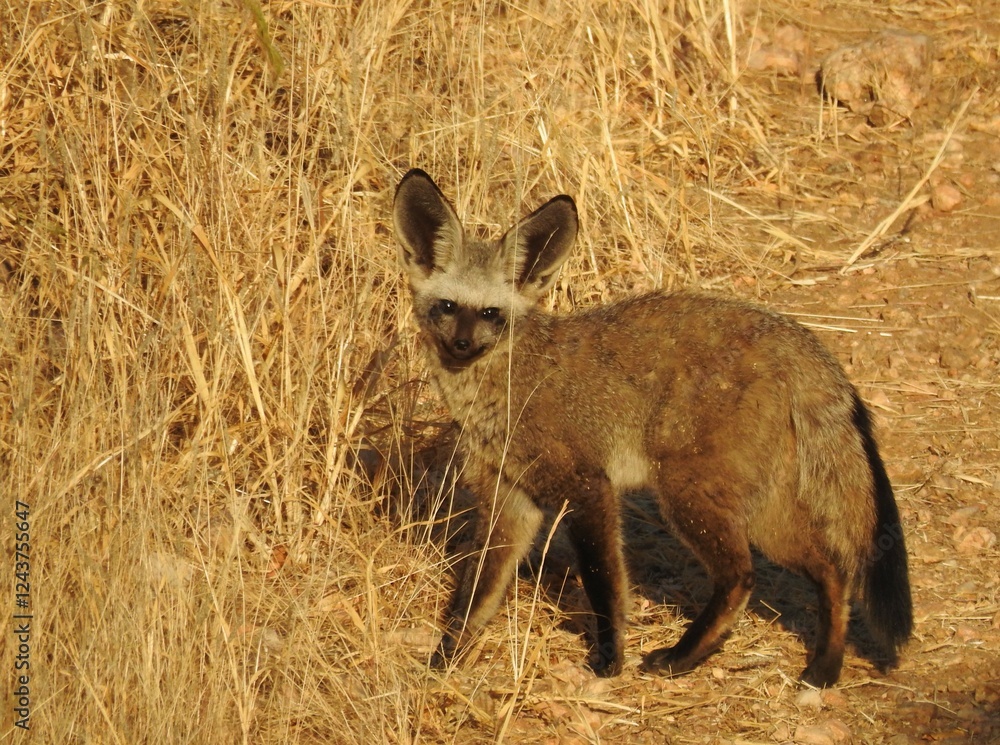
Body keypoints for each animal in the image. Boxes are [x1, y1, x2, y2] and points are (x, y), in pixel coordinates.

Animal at [392, 168, 913, 687]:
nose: (461, 346)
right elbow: (474, 597)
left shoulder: (587, 488)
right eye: (447, 306)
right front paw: (446, 657)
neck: (507, 390)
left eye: (490, 314)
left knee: (743, 576)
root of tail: (792, 335)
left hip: (687, 496)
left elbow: (603, 584)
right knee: (832, 570)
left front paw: (609, 658)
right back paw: (825, 665)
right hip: (763, 512)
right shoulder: (509, 501)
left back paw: (683, 657)